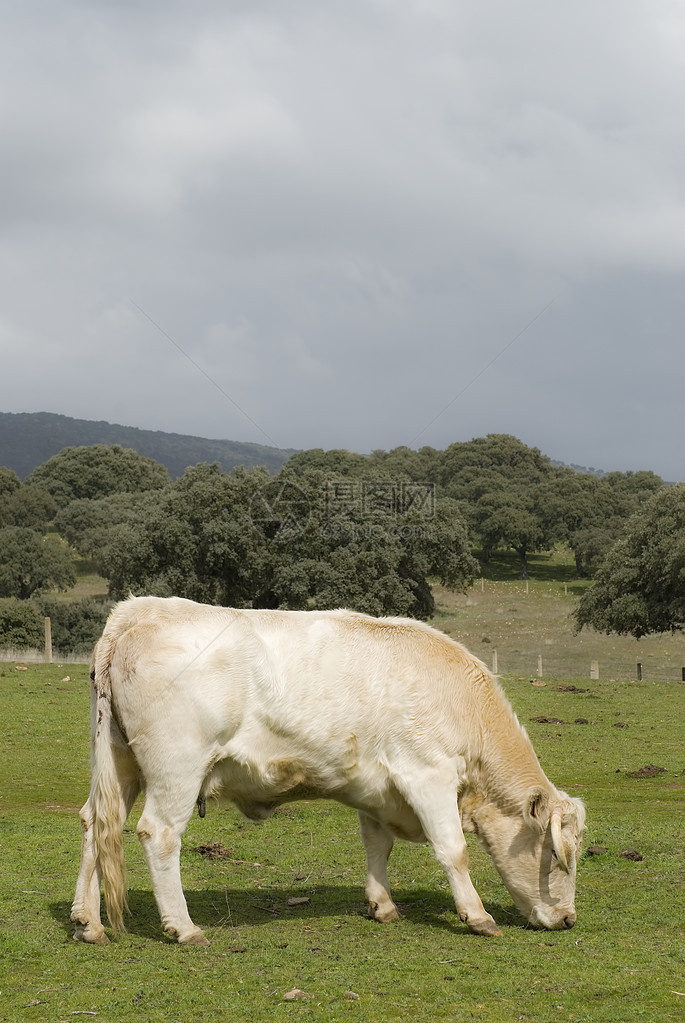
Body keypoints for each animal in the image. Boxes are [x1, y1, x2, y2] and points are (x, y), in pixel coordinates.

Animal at [72, 597, 588, 945]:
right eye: (557, 854)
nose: (568, 919)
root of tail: (137, 611)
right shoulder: (427, 775)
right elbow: (453, 850)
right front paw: (478, 916)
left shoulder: (376, 789)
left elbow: (378, 847)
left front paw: (382, 905)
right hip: (177, 767)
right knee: (158, 833)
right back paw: (183, 927)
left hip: (118, 765)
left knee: (96, 822)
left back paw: (88, 921)